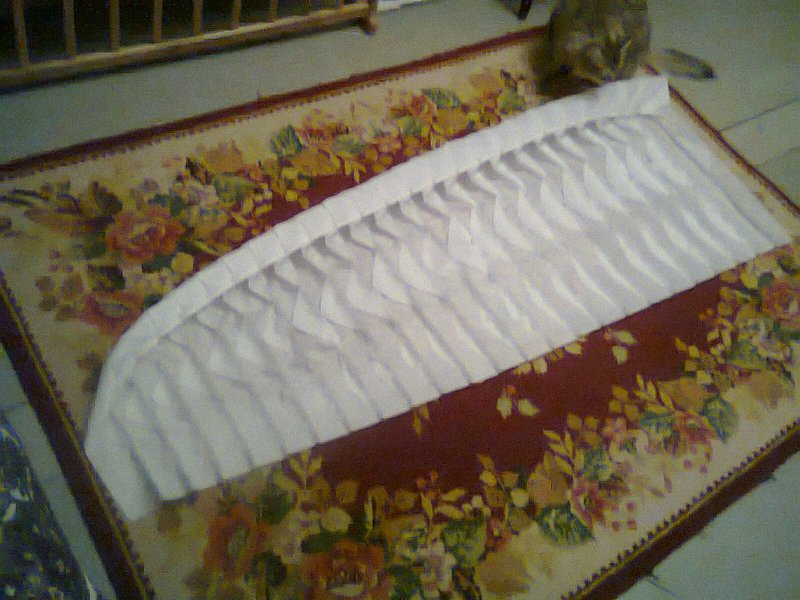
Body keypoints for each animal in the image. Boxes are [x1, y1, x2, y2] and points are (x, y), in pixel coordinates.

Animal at [537, 0, 714, 98]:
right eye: (606, 77)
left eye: (612, 76)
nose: (611, 85)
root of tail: (648, 48)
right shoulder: (555, 48)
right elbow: (550, 68)